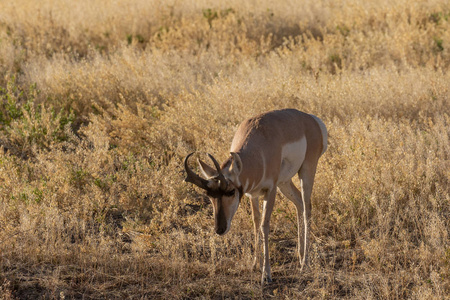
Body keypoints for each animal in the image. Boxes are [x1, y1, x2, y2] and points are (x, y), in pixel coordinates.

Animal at [183, 109, 326, 284]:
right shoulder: (253, 194)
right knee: (299, 203)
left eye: (230, 191)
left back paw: (304, 263)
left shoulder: (270, 191)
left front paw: (266, 274)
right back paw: (300, 257)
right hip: (285, 183)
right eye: (209, 195)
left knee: (307, 207)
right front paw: (254, 264)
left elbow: (264, 225)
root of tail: (312, 120)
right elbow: (256, 222)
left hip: (305, 172)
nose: (219, 229)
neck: (259, 146)